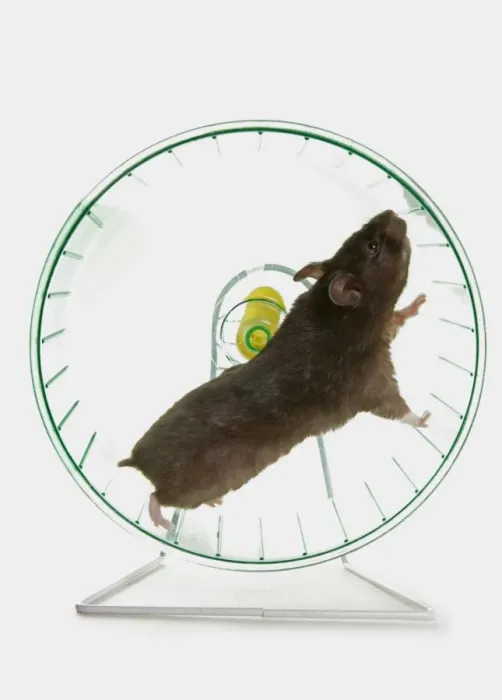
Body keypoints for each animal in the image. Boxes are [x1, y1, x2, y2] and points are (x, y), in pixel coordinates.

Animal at [118, 209, 429, 531]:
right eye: (373, 247)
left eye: (360, 237)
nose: (392, 213)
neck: (332, 309)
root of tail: (139, 460)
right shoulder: (371, 378)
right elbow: (394, 405)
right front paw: (423, 419)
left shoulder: (383, 332)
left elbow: (398, 319)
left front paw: (417, 302)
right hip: (193, 488)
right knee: (157, 496)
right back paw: (163, 520)